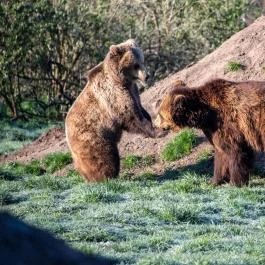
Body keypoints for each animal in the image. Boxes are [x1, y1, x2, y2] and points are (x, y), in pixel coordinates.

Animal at [64, 39, 154, 182]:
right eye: (135, 65)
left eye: (142, 61)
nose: (147, 76)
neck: (121, 80)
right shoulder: (114, 95)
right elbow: (130, 115)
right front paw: (156, 131)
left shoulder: (132, 90)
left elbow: (140, 108)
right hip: (92, 136)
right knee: (104, 156)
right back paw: (105, 177)